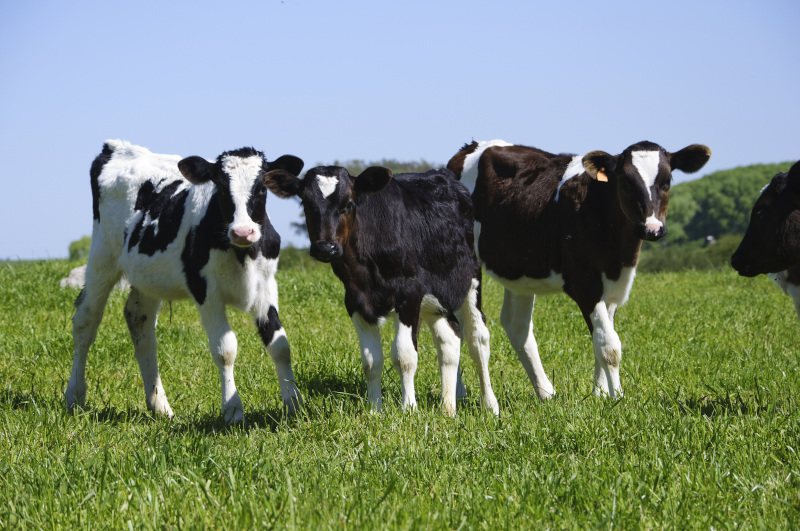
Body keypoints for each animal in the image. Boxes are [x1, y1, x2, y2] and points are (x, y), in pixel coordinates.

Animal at [64, 141, 304, 424]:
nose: (243, 231)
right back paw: (74, 396)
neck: (243, 253)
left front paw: (294, 404)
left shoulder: (266, 285)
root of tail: (116, 147)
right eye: (220, 187)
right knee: (86, 321)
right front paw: (232, 410)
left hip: (147, 276)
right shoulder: (205, 290)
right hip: (102, 258)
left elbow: (280, 345)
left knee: (139, 321)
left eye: (262, 188)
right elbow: (225, 349)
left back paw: (159, 405)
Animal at [266, 166, 496, 416]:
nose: (326, 248)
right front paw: (375, 409)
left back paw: (489, 405)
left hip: (470, 280)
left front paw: (409, 409)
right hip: (435, 300)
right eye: (306, 204)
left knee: (477, 340)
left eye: (348, 203)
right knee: (449, 339)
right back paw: (448, 407)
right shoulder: (356, 301)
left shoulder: (409, 294)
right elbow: (371, 361)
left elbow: (404, 356)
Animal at [450, 141, 712, 400]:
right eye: (625, 182)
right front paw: (617, 397)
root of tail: (469, 147)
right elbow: (609, 345)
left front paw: (600, 394)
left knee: (516, 326)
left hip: (519, 270)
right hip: (465, 266)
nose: (652, 229)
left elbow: (601, 338)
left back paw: (545, 393)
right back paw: (467, 396)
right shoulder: (586, 286)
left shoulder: (613, 288)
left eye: (667, 181)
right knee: (471, 329)